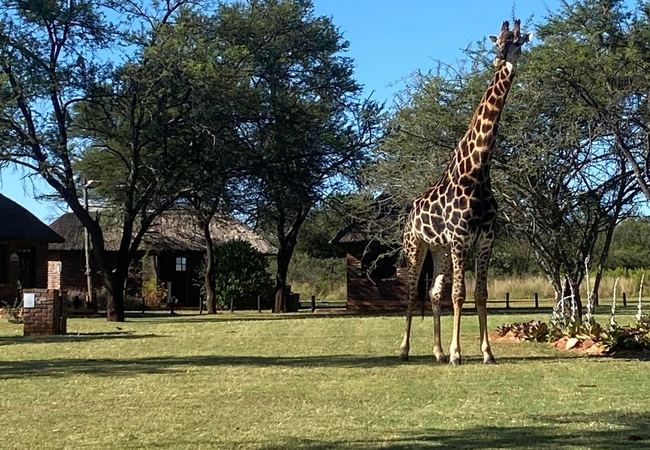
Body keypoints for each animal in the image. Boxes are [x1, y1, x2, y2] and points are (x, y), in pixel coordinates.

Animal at [398, 20, 528, 366]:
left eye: (518, 43)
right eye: (498, 41)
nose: (499, 59)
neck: (478, 171)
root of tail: (410, 211)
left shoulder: (485, 239)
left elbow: (480, 294)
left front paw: (487, 353)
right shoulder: (460, 239)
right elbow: (459, 295)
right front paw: (459, 353)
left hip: (439, 250)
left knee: (433, 292)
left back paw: (438, 352)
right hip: (416, 246)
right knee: (412, 292)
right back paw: (405, 350)